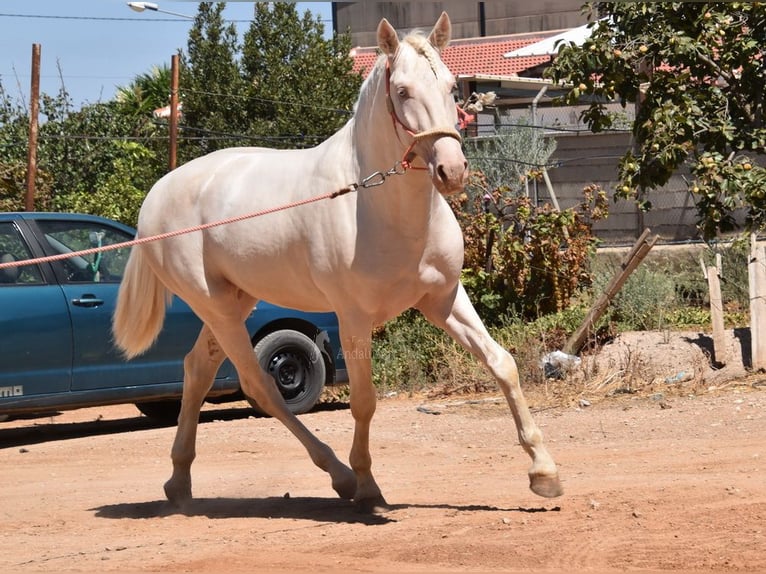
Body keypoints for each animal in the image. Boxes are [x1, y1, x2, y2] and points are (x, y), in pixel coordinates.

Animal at [112, 12, 564, 512]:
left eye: (450, 86)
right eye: (402, 90)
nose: (452, 171)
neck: (382, 208)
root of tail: (158, 193)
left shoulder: (444, 300)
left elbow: (502, 363)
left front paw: (544, 471)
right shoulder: (353, 317)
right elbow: (363, 400)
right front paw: (367, 485)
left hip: (235, 301)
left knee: (196, 371)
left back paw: (179, 483)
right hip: (218, 308)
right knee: (258, 384)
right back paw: (340, 476)